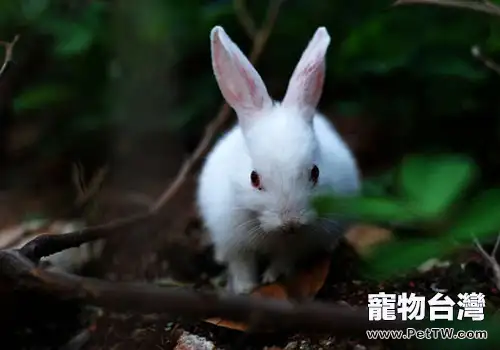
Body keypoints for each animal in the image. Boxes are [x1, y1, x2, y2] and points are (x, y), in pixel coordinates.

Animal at [194, 26, 360, 294]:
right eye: (253, 178)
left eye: (315, 172)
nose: (290, 222)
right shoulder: (234, 241)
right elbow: (241, 265)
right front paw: (245, 288)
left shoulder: (296, 246)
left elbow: (284, 260)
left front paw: (271, 278)